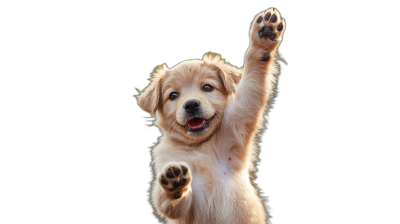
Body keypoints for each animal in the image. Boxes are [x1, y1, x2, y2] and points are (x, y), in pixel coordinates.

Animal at [137, 7, 284, 223]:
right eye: (173, 95)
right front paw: (175, 183)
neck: (199, 147)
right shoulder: (179, 198)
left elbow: (252, 83)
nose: (191, 105)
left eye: (207, 87)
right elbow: (167, 202)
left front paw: (264, 35)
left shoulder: (240, 119)